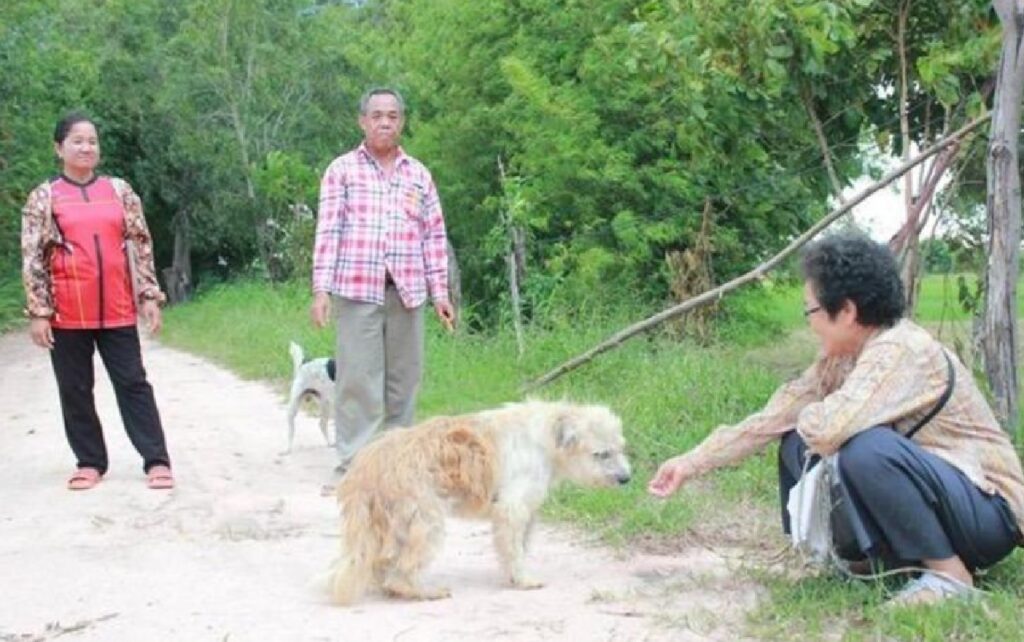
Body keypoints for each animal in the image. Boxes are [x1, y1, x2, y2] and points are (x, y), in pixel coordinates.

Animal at [327, 399, 630, 606]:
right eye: (601, 454)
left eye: (621, 449)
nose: (627, 479)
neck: (547, 435)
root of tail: (366, 466)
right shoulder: (512, 509)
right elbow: (514, 549)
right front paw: (523, 580)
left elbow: (515, 547)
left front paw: (513, 576)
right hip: (425, 521)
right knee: (402, 571)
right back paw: (422, 591)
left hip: (388, 525)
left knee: (382, 564)